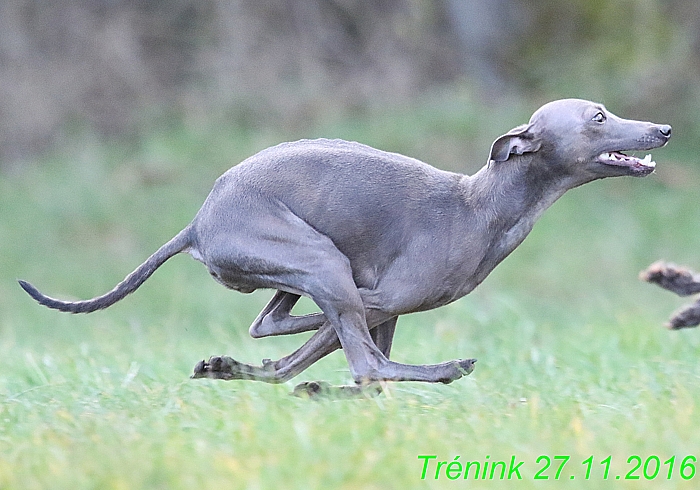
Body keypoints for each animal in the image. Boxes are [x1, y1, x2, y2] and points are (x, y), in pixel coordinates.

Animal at [19, 99, 668, 394]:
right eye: (599, 116)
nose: (662, 129)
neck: (481, 204)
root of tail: (198, 223)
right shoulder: (388, 299)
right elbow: (356, 365)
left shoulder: (388, 307)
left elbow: (316, 362)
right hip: (317, 259)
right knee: (361, 360)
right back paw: (443, 368)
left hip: (303, 268)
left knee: (276, 329)